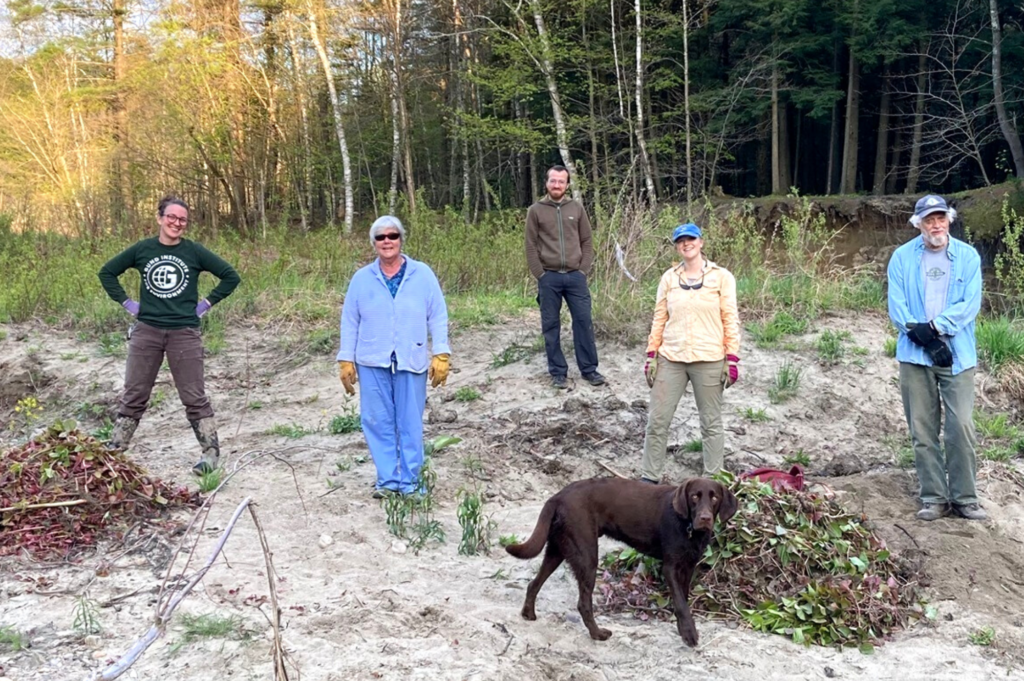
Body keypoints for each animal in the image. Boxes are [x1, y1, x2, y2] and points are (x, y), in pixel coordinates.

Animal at [505, 475, 737, 647]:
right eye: (695, 496)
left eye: (714, 498)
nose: (705, 518)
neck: (688, 527)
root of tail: (558, 496)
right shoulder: (670, 567)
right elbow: (680, 603)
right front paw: (689, 634)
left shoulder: (688, 567)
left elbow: (684, 600)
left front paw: (683, 629)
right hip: (586, 555)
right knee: (583, 603)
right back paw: (597, 634)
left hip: (557, 549)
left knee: (534, 583)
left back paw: (528, 614)